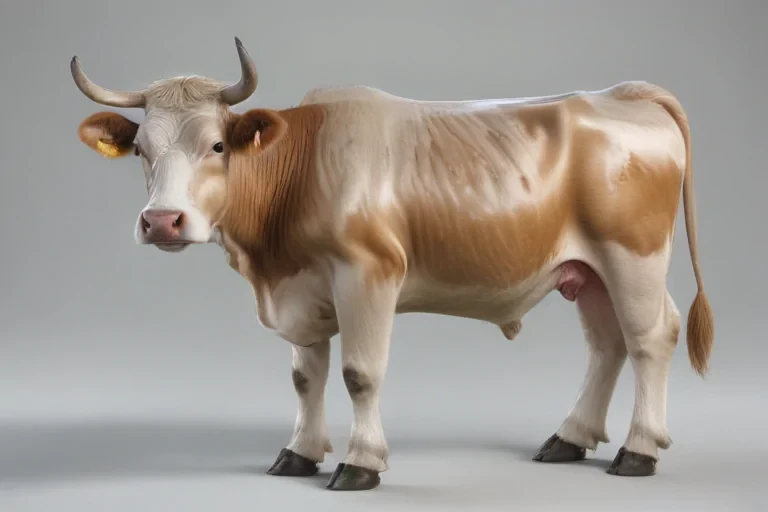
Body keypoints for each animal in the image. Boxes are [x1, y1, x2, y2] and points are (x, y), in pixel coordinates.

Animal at [70, 37, 714, 491]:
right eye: (141, 151)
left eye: (218, 145)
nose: (162, 222)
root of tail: (622, 93)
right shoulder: (304, 286)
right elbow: (305, 377)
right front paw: (298, 453)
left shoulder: (368, 273)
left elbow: (360, 374)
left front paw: (360, 464)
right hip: (589, 268)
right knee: (608, 343)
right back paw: (570, 438)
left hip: (633, 254)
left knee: (650, 336)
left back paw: (638, 450)